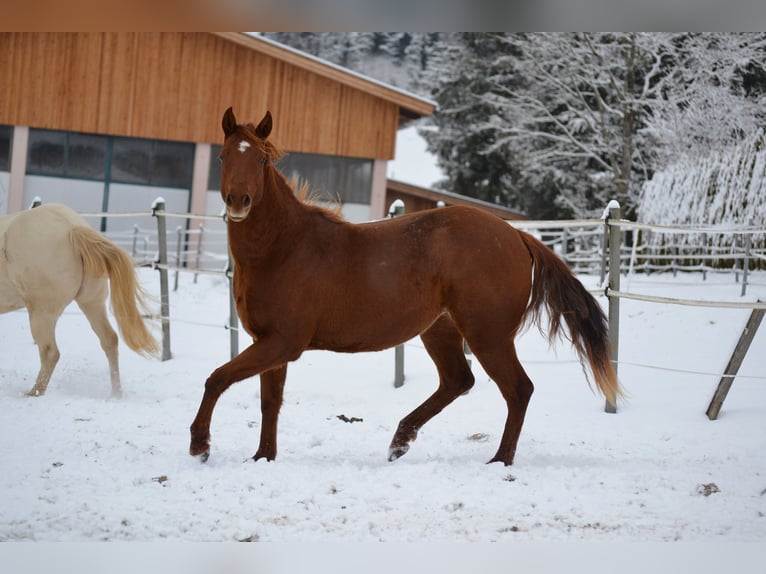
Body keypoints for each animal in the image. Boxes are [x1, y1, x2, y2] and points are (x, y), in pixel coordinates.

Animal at [0, 202, 159, 396]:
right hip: (92, 303)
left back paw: (34, 393)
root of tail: (73, 228)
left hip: (42, 313)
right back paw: (116, 394)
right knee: (109, 340)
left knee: (50, 352)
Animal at [190, 109, 624, 468]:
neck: (285, 247)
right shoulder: (270, 343)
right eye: (223, 157)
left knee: (518, 389)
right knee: (459, 381)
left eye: (261, 159)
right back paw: (400, 441)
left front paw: (200, 446)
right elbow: (269, 401)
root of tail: (516, 235)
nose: (239, 201)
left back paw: (499, 460)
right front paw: (262, 457)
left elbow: (217, 378)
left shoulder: (283, 342)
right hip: (441, 329)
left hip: (488, 335)